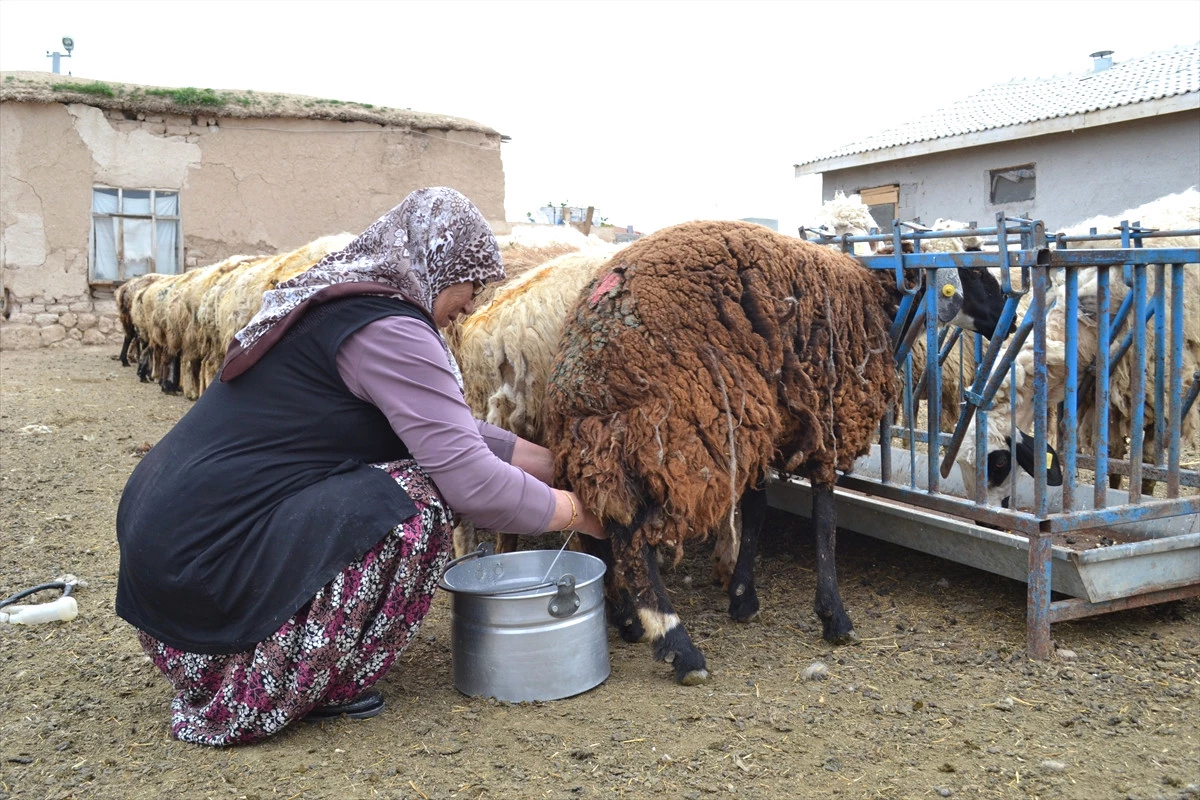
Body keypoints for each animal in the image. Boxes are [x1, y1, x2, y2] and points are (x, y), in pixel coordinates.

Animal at [544, 221, 907, 686]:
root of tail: (586, 374)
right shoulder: (826, 424)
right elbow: (824, 519)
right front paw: (834, 616)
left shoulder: (759, 429)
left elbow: (755, 509)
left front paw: (742, 596)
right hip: (680, 439)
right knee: (636, 541)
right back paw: (678, 645)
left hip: (597, 448)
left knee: (600, 527)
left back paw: (626, 619)